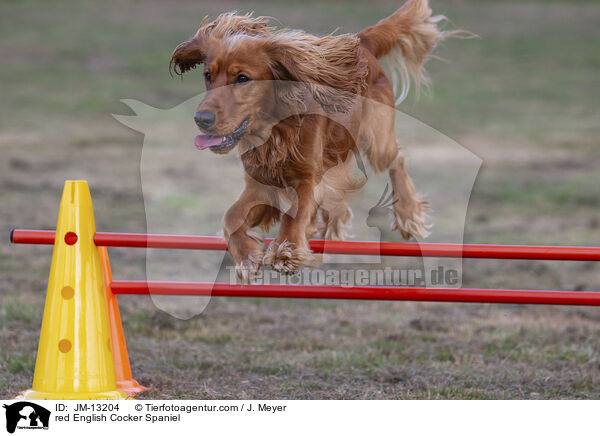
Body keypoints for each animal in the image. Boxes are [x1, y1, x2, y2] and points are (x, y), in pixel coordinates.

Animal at [171, 0, 452, 282]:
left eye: (242, 78)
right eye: (208, 75)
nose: (201, 119)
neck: (276, 130)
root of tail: (362, 44)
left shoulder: (308, 179)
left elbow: (294, 214)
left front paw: (286, 251)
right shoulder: (260, 185)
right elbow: (230, 217)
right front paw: (246, 256)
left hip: (376, 139)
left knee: (396, 159)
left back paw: (407, 213)